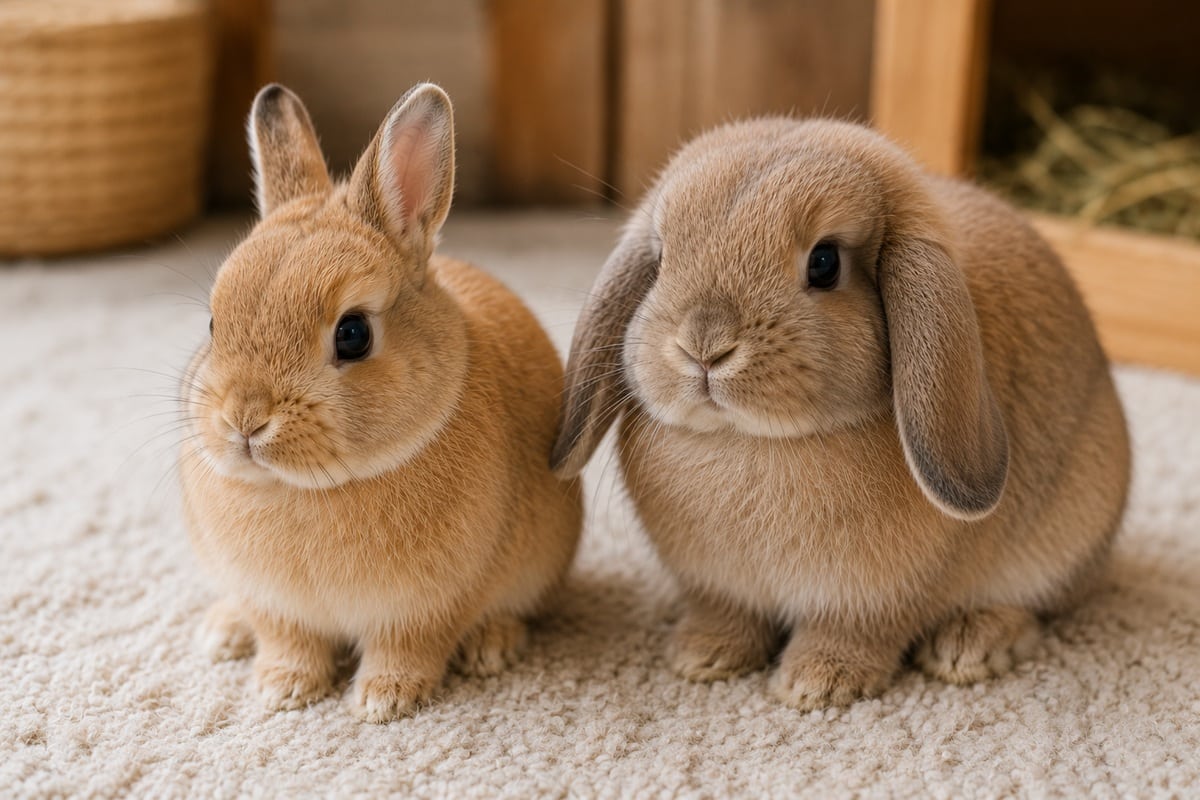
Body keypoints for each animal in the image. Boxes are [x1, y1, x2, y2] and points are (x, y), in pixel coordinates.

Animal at [178, 83, 582, 722]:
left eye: (353, 335)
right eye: (214, 323)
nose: (244, 421)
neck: (310, 488)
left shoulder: (427, 608)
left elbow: (409, 648)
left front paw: (383, 700)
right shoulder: (277, 606)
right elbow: (288, 641)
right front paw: (283, 689)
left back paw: (492, 647)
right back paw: (224, 632)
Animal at [551, 117, 1131, 710]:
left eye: (824, 262)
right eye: (662, 257)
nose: (704, 347)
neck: (755, 441)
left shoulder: (879, 600)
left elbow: (854, 632)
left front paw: (818, 683)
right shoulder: (719, 588)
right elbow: (727, 616)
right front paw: (703, 656)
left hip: (1064, 541)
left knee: (1036, 607)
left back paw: (968, 648)